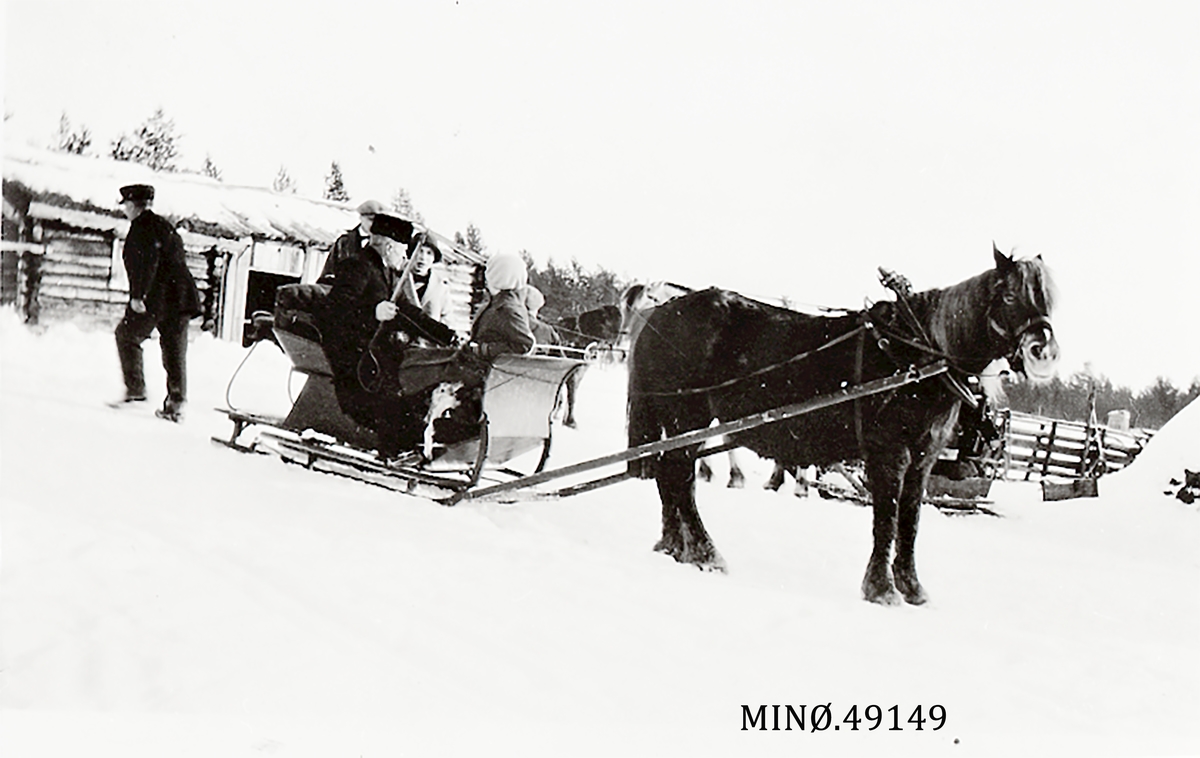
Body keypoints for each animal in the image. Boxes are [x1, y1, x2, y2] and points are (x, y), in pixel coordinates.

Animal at [628, 247, 1060, 604]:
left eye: (1048, 300)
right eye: (1009, 296)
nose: (1044, 354)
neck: (917, 358)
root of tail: (660, 313)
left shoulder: (922, 460)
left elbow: (910, 521)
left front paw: (912, 587)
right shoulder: (889, 453)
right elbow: (886, 519)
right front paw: (881, 589)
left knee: (670, 475)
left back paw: (675, 545)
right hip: (687, 415)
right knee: (681, 477)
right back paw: (705, 552)